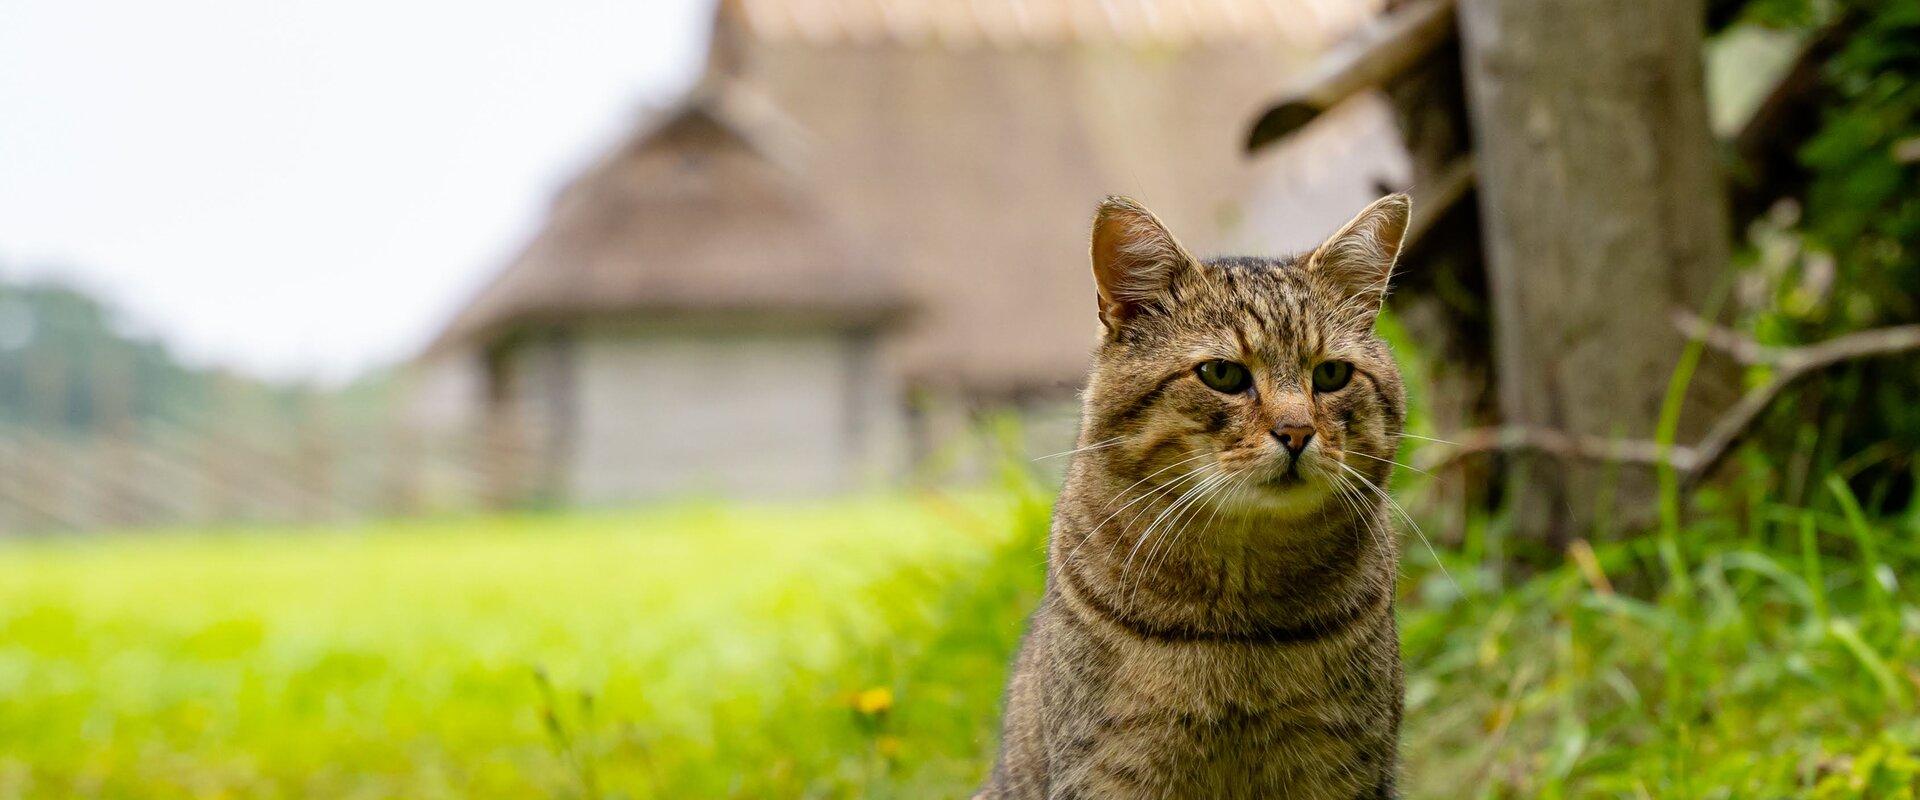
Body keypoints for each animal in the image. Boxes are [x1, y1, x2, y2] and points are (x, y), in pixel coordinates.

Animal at [975, 193, 1413, 798]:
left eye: (1330, 374)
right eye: (1222, 374)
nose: (1297, 432)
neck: (1236, 629)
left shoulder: (1343, 763)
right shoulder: (1108, 766)